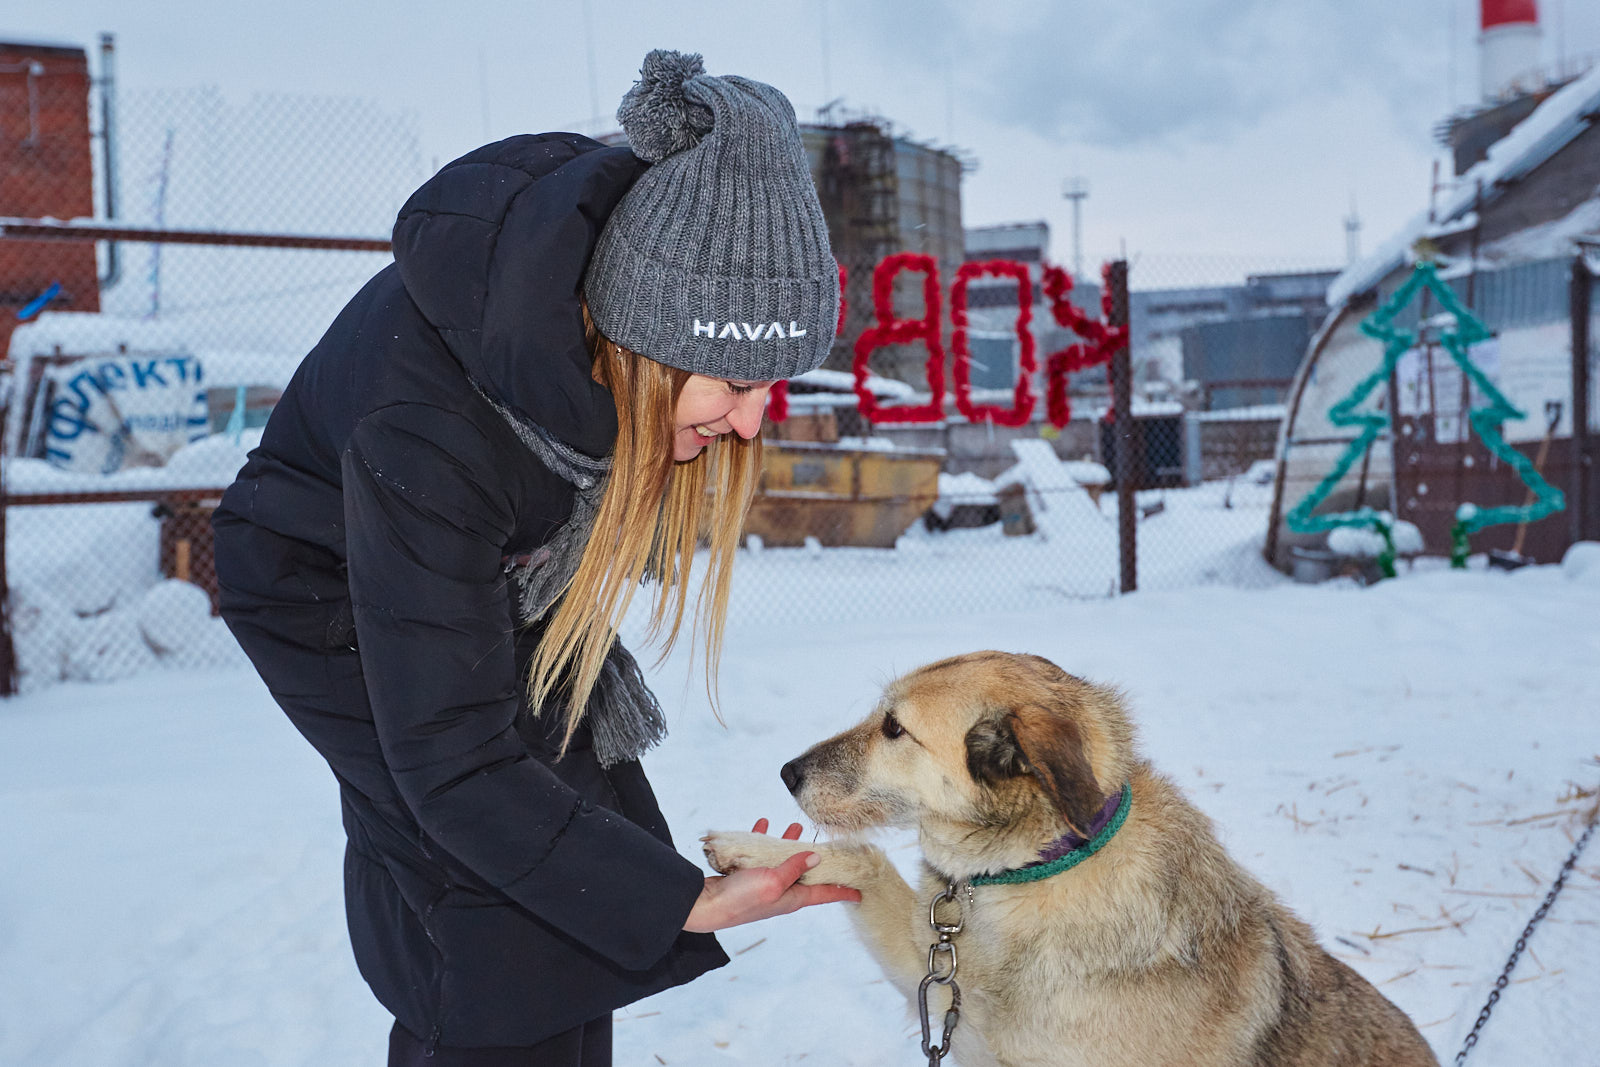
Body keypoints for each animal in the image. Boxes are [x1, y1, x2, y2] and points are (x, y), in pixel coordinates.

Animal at [700, 652, 1440, 1067]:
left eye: (894, 728)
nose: (787, 772)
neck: (1037, 869)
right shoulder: (945, 996)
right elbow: (863, 858)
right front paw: (758, 850)